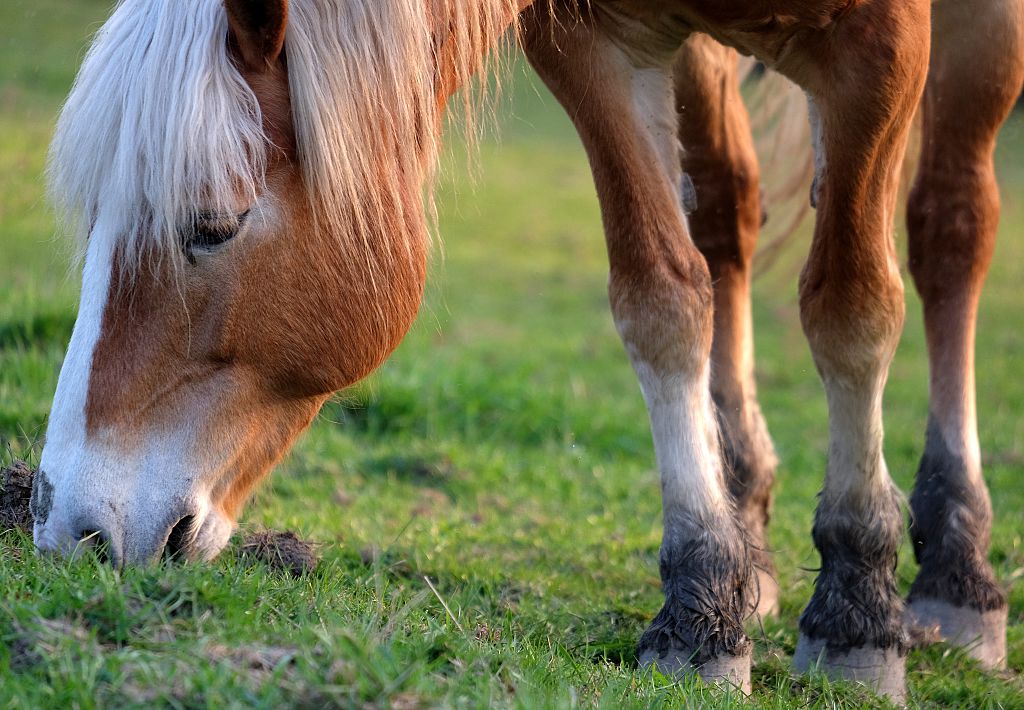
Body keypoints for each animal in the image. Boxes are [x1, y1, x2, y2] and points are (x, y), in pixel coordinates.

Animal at [34, 0, 1024, 701]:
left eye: (213, 225)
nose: (73, 527)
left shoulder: (877, 47)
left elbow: (853, 307)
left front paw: (858, 609)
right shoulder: (596, 46)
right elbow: (661, 299)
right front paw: (703, 607)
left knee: (951, 229)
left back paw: (956, 569)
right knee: (725, 212)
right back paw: (749, 529)